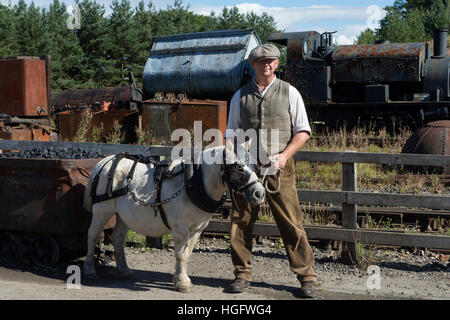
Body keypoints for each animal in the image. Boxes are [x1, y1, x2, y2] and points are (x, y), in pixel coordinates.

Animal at [81, 140, 264, 292]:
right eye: (238, 167)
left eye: (254, 165)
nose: (259, 193)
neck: (193, 183)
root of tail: (105, 162)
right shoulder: (180, 228)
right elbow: (181, 254)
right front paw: (182, 284)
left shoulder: (197, 228)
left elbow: (187, 254)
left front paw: (179, 279)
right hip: (102, 211)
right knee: (92, 235)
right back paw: (89, 270)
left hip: (123, 215)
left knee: (118, 238)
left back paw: (124, 270)